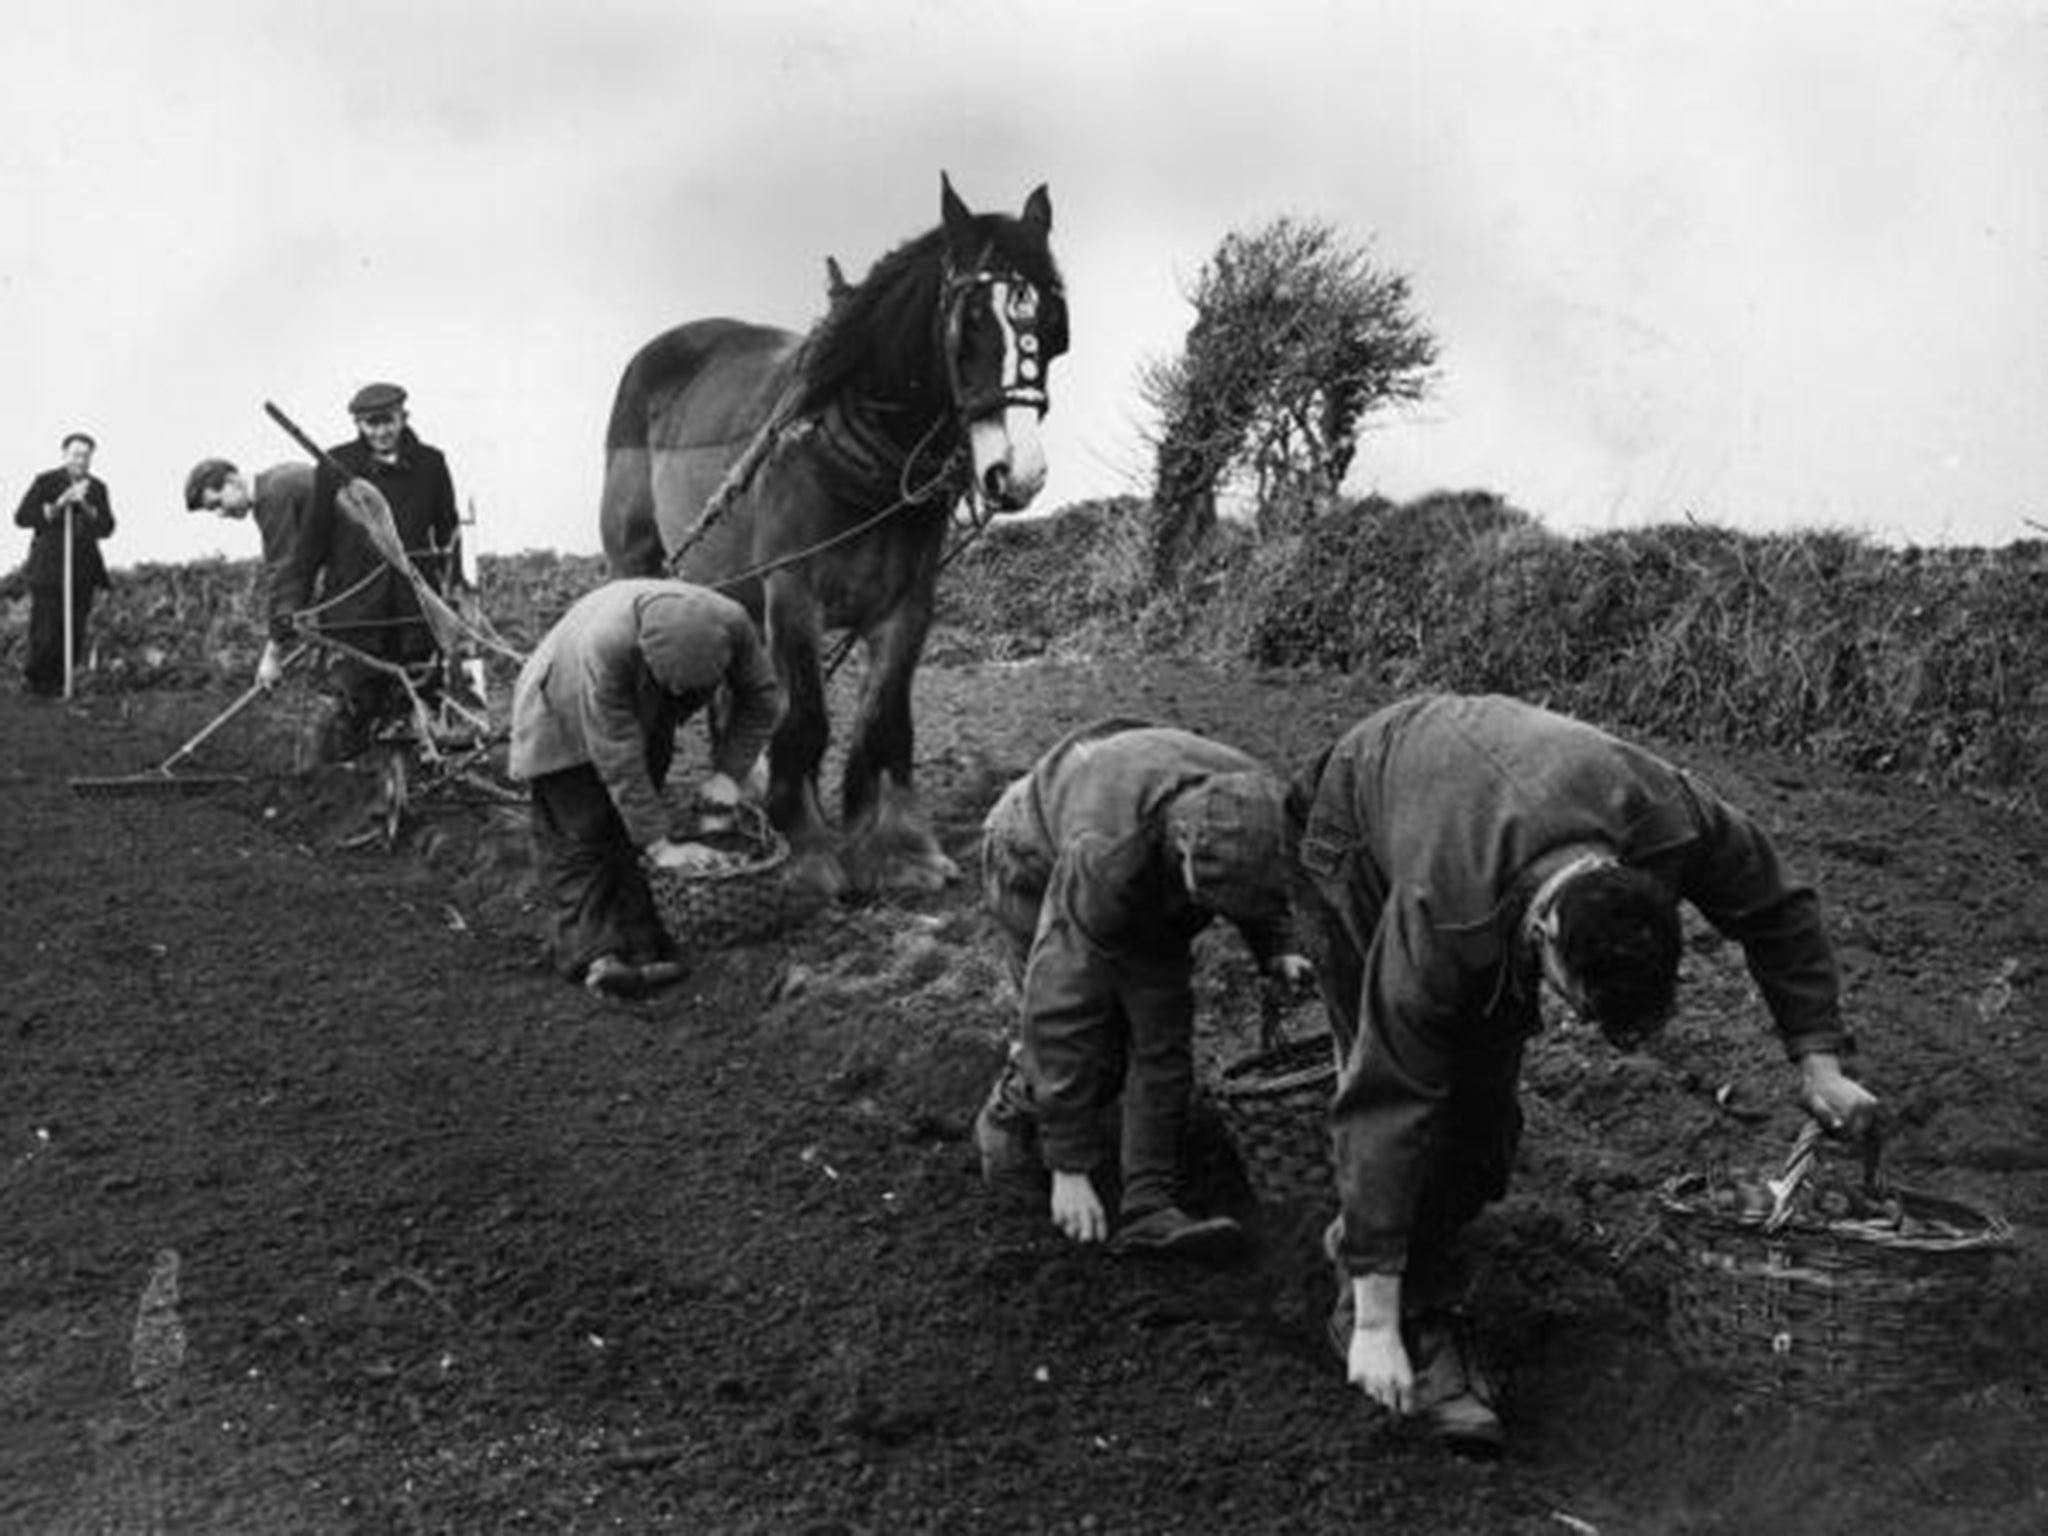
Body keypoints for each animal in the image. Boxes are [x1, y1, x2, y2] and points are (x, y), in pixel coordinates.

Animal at [598, 177, 1064, 901]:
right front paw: (810, 849)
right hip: (639, 560)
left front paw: (897, 850)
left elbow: (885, 722)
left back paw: (734, 799)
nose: (1018, 472)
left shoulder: (908, 603)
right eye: (971, 323)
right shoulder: (793, 590)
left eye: (1051, 325)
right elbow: (808, 719)